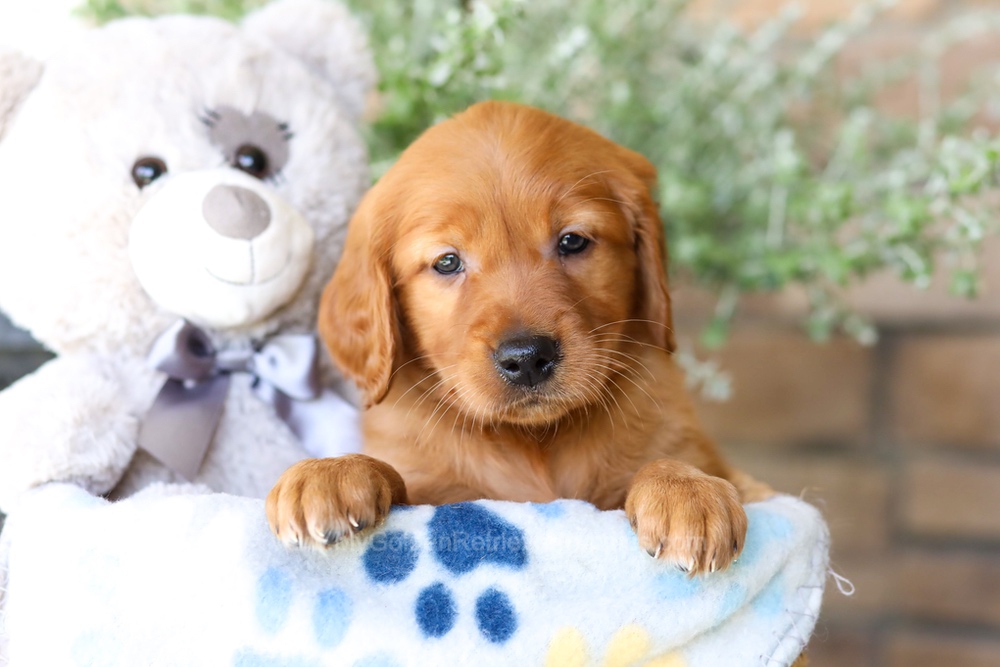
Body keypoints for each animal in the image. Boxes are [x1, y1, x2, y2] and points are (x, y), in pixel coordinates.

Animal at [266, 102, 772, 576]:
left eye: (572, 241)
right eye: (447, 262)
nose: (527, 357)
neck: (535, 441)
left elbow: (674, 464)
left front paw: (687, 489)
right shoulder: (435, 488)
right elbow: (397, 477)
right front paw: (332, 472)